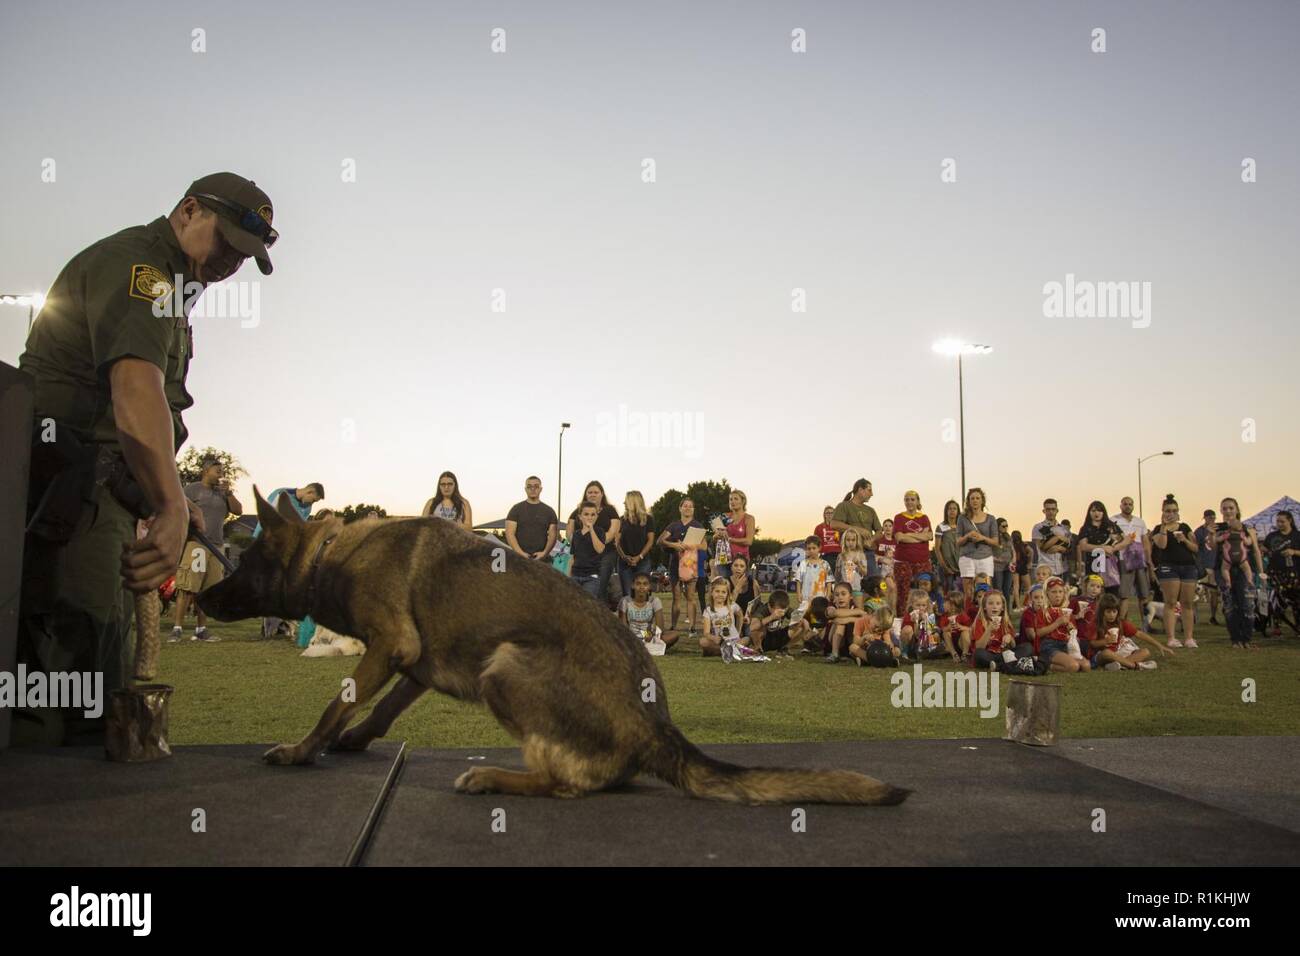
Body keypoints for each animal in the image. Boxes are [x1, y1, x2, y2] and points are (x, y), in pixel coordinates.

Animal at [200, 489, 915, 806]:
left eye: (247, 562)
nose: (204, 598)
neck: (332, 553)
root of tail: (656, 727)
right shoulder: (412, 662)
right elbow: (377, 710)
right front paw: (353, 740)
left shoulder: (388, 646)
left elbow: (336, 704)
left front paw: (301, 750)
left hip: (506, 664)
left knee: (566, 784)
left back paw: (494, 777)